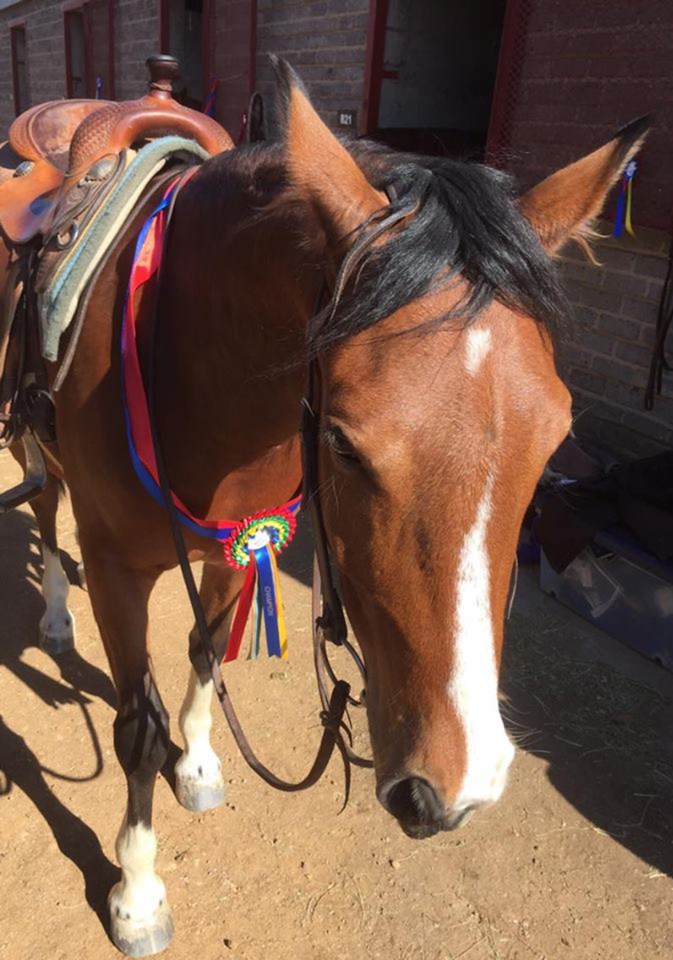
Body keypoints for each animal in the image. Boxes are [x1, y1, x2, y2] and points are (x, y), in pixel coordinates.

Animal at [6, 63, 644, 956]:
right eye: (342, 443)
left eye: (554, 442)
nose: (458, 787)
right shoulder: (115, 569)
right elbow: (137, 729)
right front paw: (135, 893)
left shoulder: (237, 543)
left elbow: (207, 653)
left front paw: (196, 766)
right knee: (44, 504)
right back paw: (58, 620)